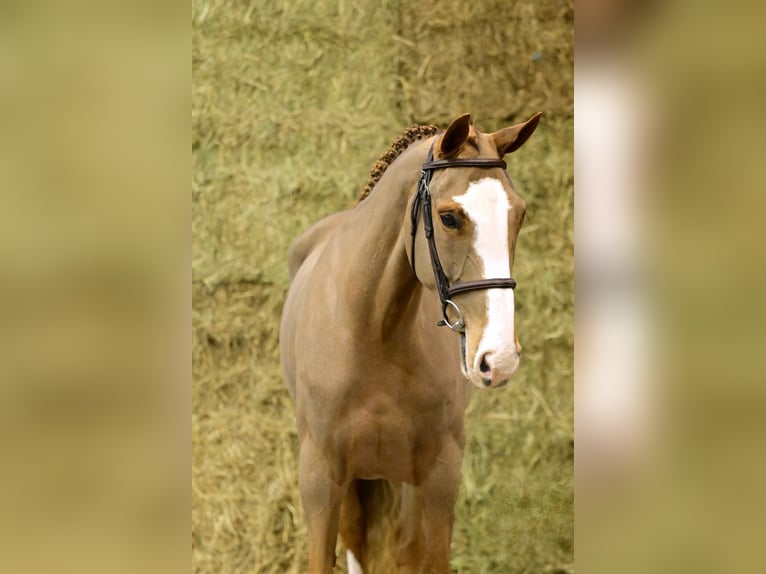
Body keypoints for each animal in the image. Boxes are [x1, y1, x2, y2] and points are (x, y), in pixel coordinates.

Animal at [279, 111, 542, 573]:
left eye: (520, 213)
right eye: (449, 217)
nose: (500, 358)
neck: (372, 332)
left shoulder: (438, 476)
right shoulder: (320, 479)